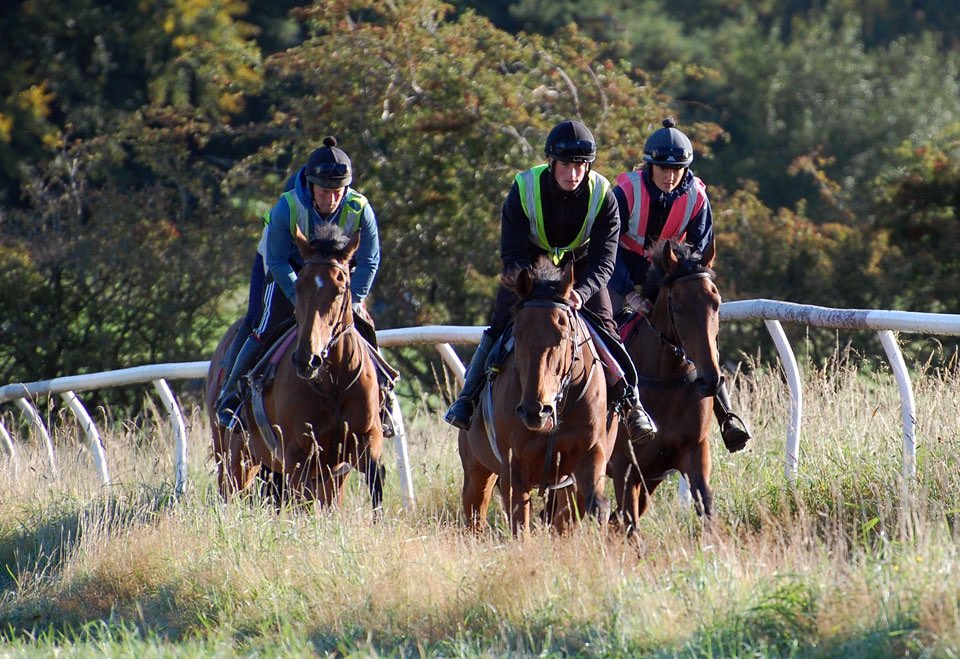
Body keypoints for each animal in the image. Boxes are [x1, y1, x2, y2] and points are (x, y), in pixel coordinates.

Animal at [205, 223, 384, 511]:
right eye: (299, 285)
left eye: (340, 287)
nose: (306, 359)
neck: (333, 383)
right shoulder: (297, 454)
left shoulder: (364, 442)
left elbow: (376, 485)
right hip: (233, 453)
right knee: (229, 491)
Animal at [458, 258, 619, 536]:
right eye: (517, 333)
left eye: (563, 335)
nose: (535, 410)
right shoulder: (515, 468)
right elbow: (520, 524)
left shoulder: (590, 453)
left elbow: (598, 505)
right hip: (476, 470)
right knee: (475, 513)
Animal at [607, 240, 722, 534]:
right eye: (677, 307)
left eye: (716, 303)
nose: (710, 380)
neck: (666, 381)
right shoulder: (624, 465)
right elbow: (630, 522)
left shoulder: (693, 451)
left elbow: (706, 505)